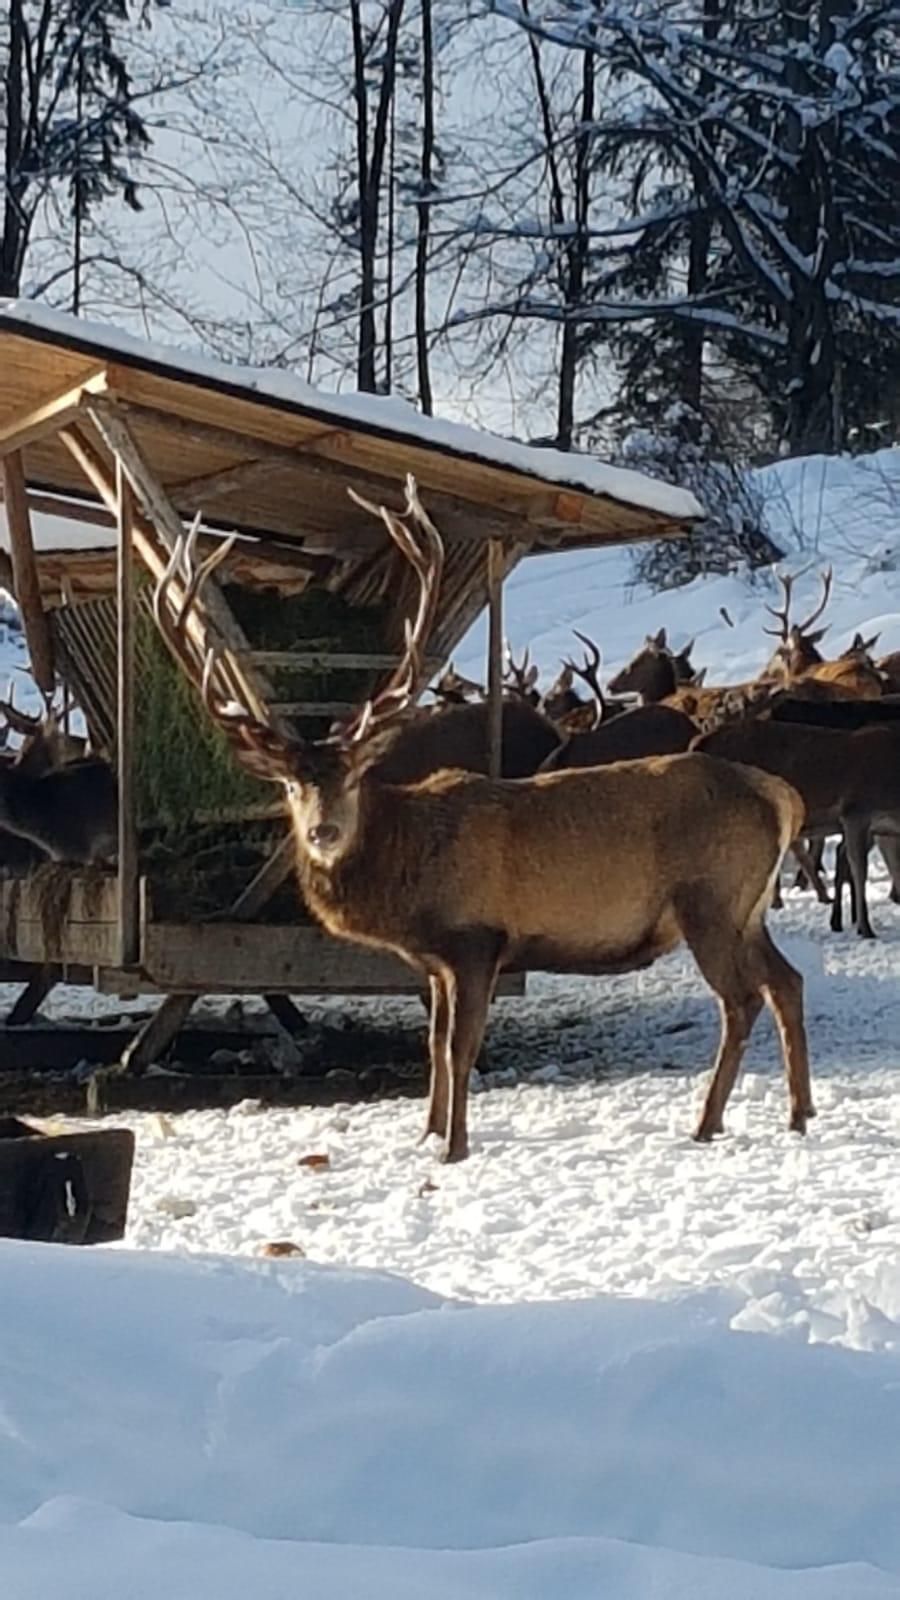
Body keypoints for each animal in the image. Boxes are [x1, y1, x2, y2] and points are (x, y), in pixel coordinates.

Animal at [153, 473, 813, 1164]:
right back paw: (799, 1113)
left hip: (707, 896)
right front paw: (426, 1132)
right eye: (288, 785)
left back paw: (707, 1122)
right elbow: (433, 1045)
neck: (406, 881)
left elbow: (461, 1046)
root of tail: (780, 797)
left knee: (741, 1000)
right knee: (787, 982)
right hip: (748, 907)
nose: (322, 832)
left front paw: (454, 1147)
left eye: (354, 775)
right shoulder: (435, 960)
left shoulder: (477, 936)